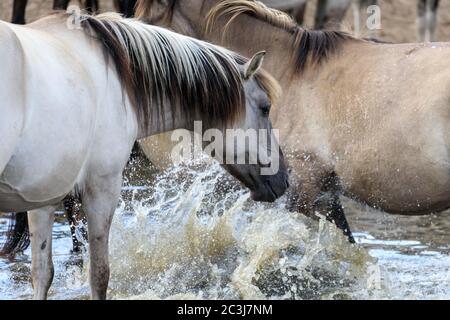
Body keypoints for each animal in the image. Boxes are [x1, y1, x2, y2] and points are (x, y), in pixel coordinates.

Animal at [0, 11, 288, 298]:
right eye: (265, 108)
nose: (284, 178)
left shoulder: (43, 198)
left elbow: (42, 274)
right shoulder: (102, 188)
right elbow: (99, 274)